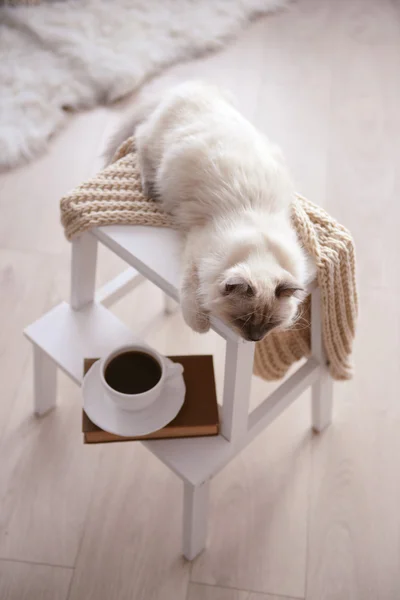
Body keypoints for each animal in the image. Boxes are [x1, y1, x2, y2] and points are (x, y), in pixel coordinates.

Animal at [104, 81, 308, 340]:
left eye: (270, 323)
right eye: (243, 320)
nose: (255, 338)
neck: (257, 244)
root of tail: (193, 85)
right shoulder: (195, 257)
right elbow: (191, 297)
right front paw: (200, 326)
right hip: (156, 146)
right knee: (140, 140)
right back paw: (149, 187)